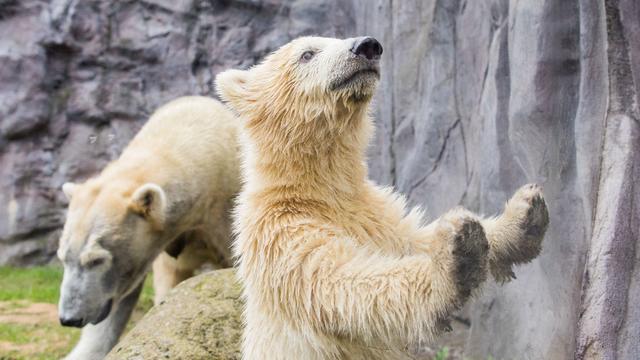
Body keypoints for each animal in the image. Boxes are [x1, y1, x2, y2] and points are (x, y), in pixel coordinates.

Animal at [218, 37, 548, 360]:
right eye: (307, 54)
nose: (366, 46)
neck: (316, 189)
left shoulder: (373, 213)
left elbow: (412, 241)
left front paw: (523, 215)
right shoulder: (281, 236)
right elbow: (340, 282)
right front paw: (458, 257)